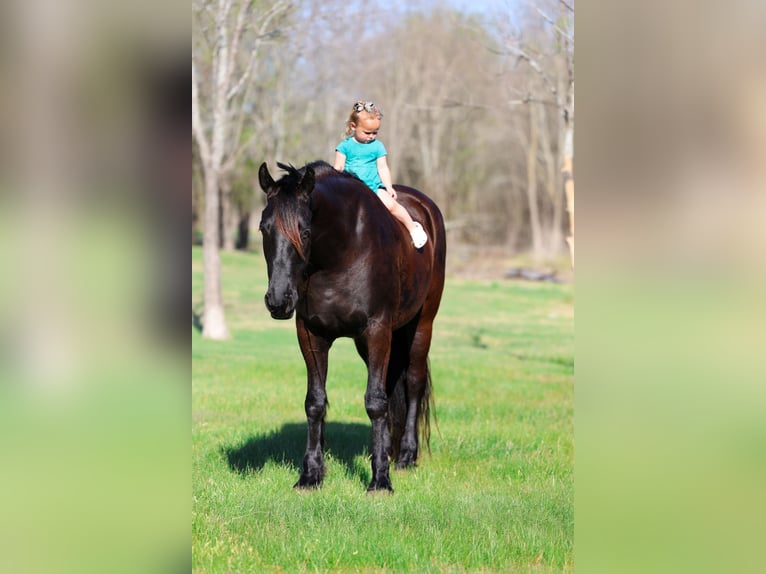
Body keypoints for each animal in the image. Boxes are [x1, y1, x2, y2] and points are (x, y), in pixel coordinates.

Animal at [257, 160, 446, 492]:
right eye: (264, 228)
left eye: (305, 231)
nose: (278, 300)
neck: (341, 252)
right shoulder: (311, 335)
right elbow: (315, 402)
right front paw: (311, 475)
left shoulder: (377, 330)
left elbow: (375, 402)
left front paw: (380, 481)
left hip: (422, 325)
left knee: (413, 383)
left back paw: (406, 456)